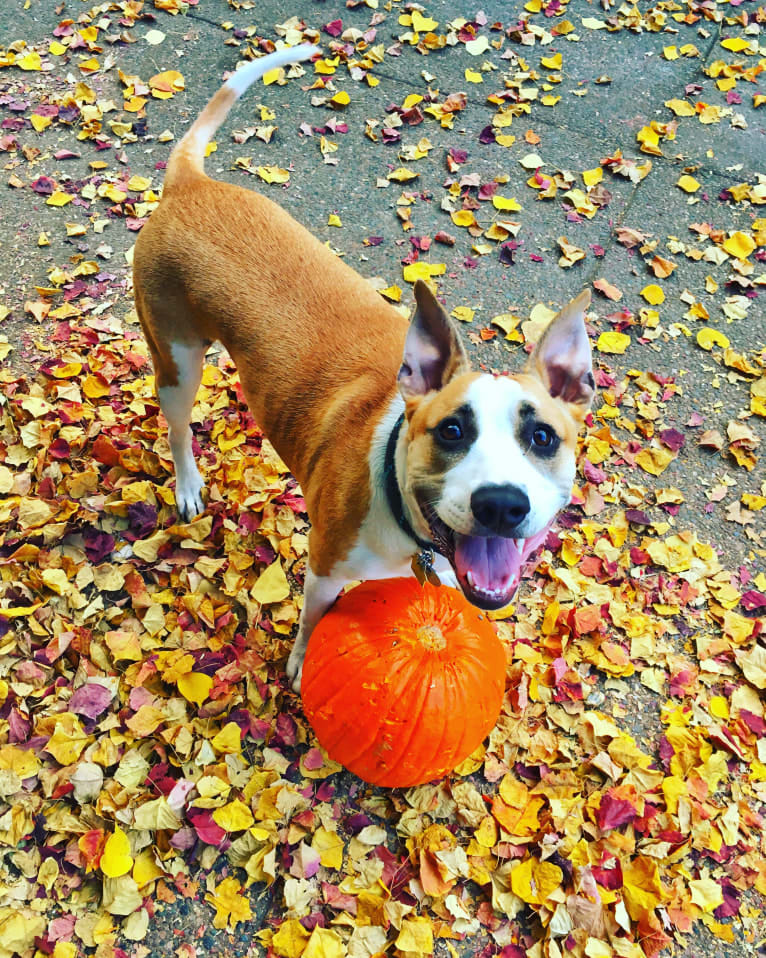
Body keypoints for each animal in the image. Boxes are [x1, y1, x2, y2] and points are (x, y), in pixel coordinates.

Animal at [132, 45, 596, 688]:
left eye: (543, 437)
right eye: (452, 430)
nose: (501, 505)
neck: (405, 520)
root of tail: (189, 185)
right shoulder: (326, 566)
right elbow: (311, 622)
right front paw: (303, 665)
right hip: (176, 362)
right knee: (177, 428)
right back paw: (187, 485)